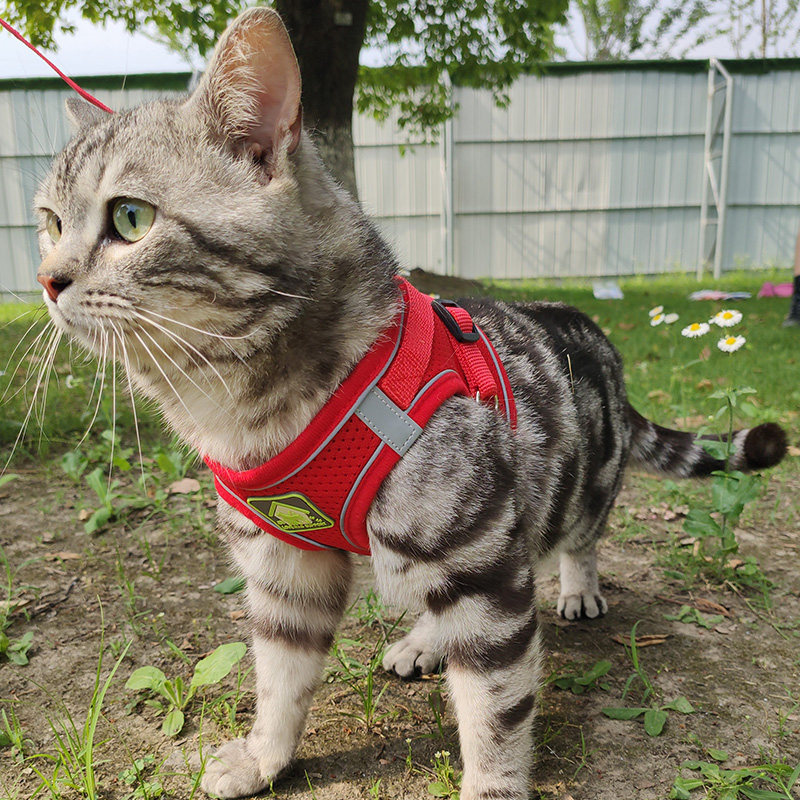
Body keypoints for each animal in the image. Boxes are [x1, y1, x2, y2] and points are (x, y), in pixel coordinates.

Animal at [34, 8, 787, 800]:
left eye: (130, 218)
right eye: (50, 221)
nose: (47, 278)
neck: (242, 415)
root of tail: (591, 330)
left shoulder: (480, 570)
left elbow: (495, 709)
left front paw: (491, 787)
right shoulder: (282, 567)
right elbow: (280, 677)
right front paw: (266, 758)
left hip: (559, 500)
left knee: (578, 541)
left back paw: (576, 589)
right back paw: (424, 642)